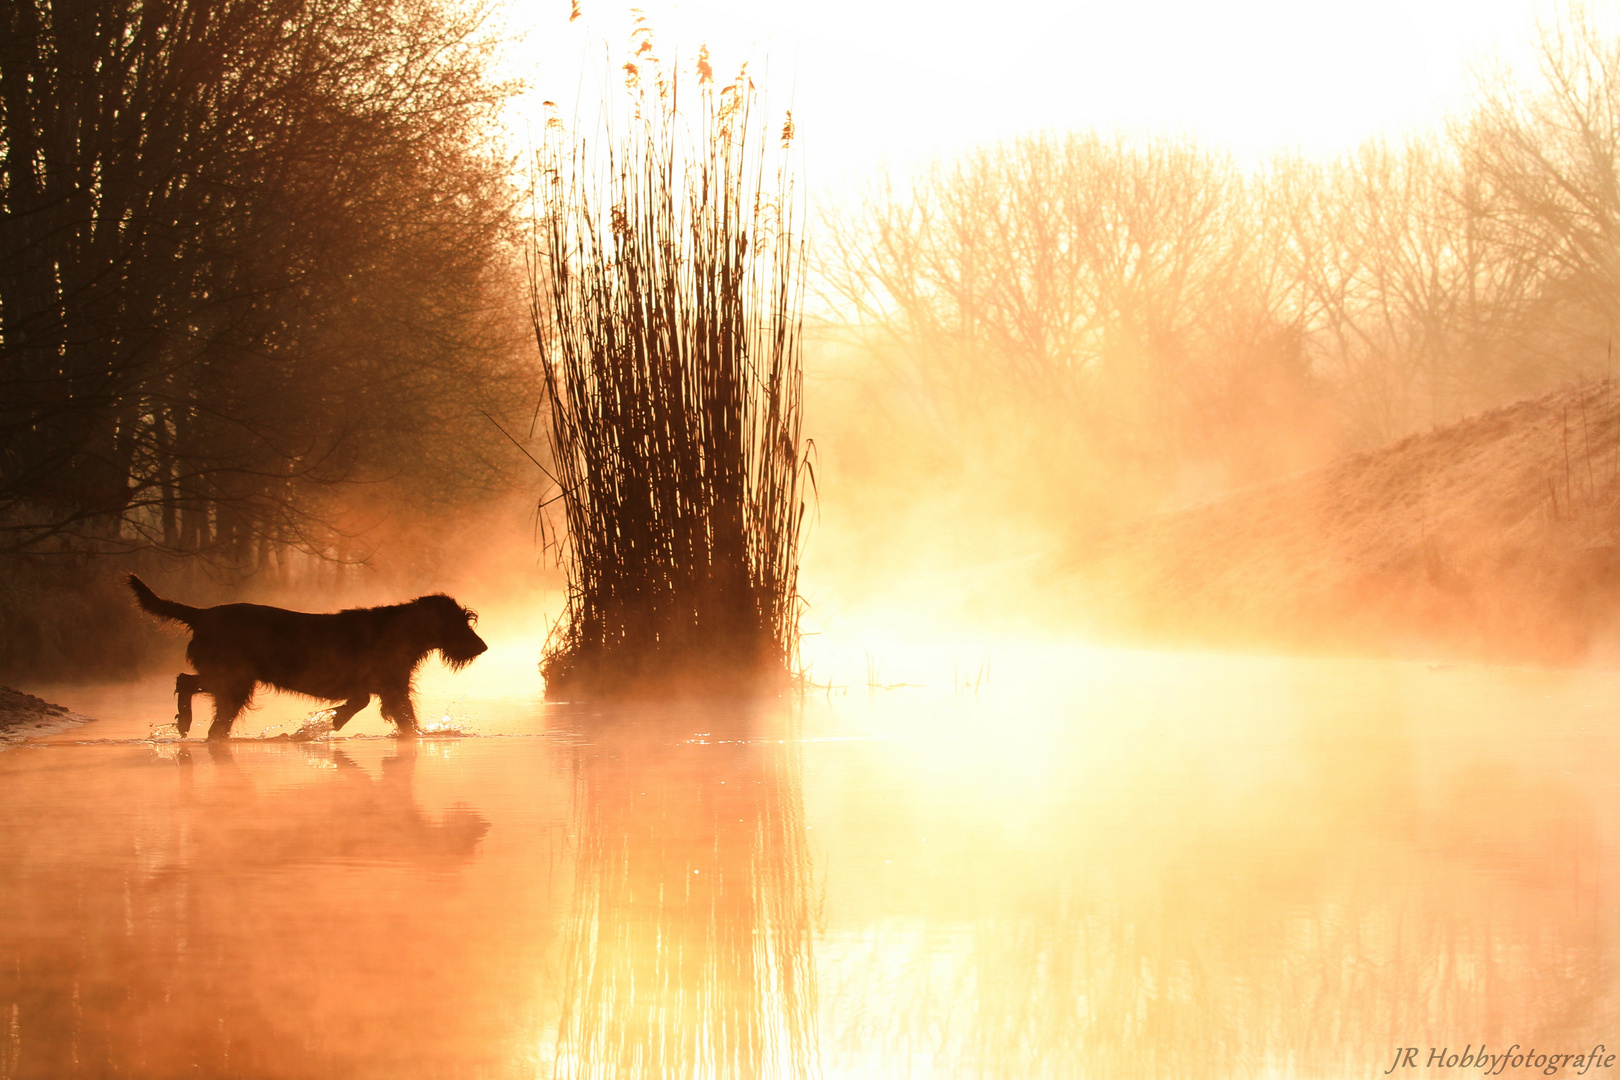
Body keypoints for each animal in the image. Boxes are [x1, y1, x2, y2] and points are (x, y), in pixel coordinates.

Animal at [127, 573, 486, 744]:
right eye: (459, 622)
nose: (482, 647)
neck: (401, 629)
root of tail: (203, 615)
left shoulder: (383, 687)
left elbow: (362, 704)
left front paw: (327, 722)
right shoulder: (392, 688)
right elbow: (402, 717)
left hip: (233, 680)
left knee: (205, 706)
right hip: (234, 678)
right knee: (186, 683)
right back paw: (185, 721)